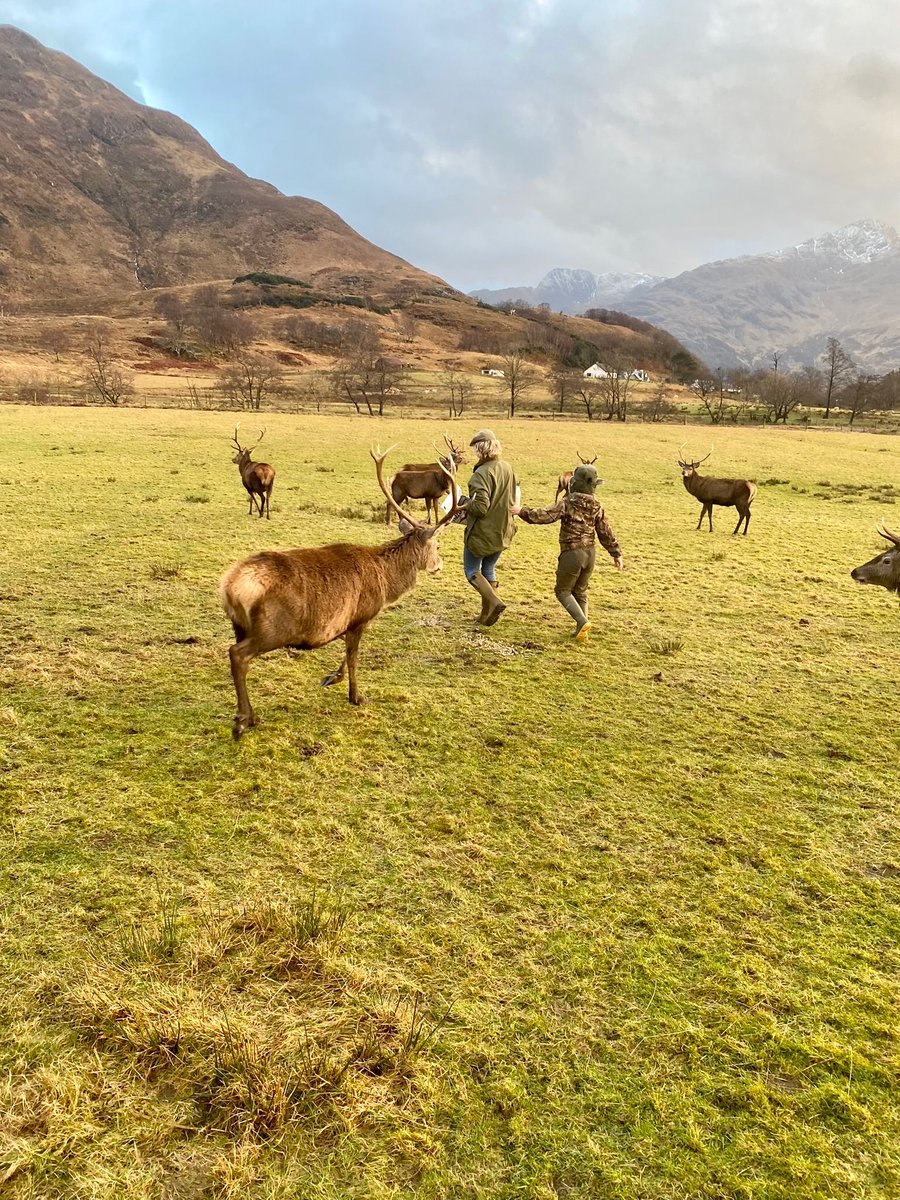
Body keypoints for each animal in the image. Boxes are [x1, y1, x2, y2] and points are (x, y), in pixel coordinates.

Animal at [220, 446, 460, 739]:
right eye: (437, 545)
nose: (440, 565)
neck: (386, 583)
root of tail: (229, 587)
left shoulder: (347, 622)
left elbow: (345, 657)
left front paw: (331, 678)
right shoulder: (362, 615)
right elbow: (353, 659)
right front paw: (357, 696)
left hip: (239, 626)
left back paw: (248, 715)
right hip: (272, 629)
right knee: (238, 655)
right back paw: (244, 720)